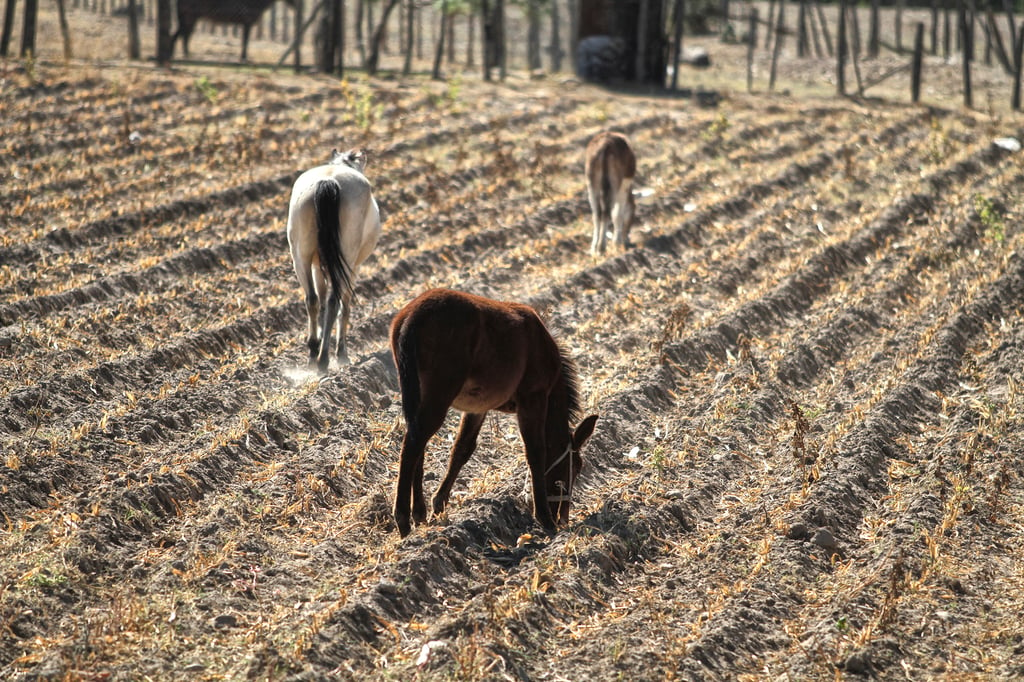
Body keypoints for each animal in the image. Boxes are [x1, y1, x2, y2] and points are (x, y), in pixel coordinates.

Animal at [286, 149, 382, 374]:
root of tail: (328, 180)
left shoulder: (317, 265)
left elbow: (319, 299)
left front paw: (320, 339)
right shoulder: (354, 266)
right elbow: (344, 306)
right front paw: (342, 353)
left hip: (300, 257)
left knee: (312, 299)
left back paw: (314, 352)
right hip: (346, 258)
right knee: (334, 301)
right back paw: (324, 359)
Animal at [391, 286, 598, 536]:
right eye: (576, 468)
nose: (562, 518)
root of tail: (411, 318)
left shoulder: (478, 408)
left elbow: (462, 449)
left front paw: (439, 504)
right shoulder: (533, 399)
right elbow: (535, 452)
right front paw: (544, 518)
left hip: (419, 394)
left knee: (417, 445)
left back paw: (418, 513)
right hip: (439, 395)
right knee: (412, 444)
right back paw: (403, 520)